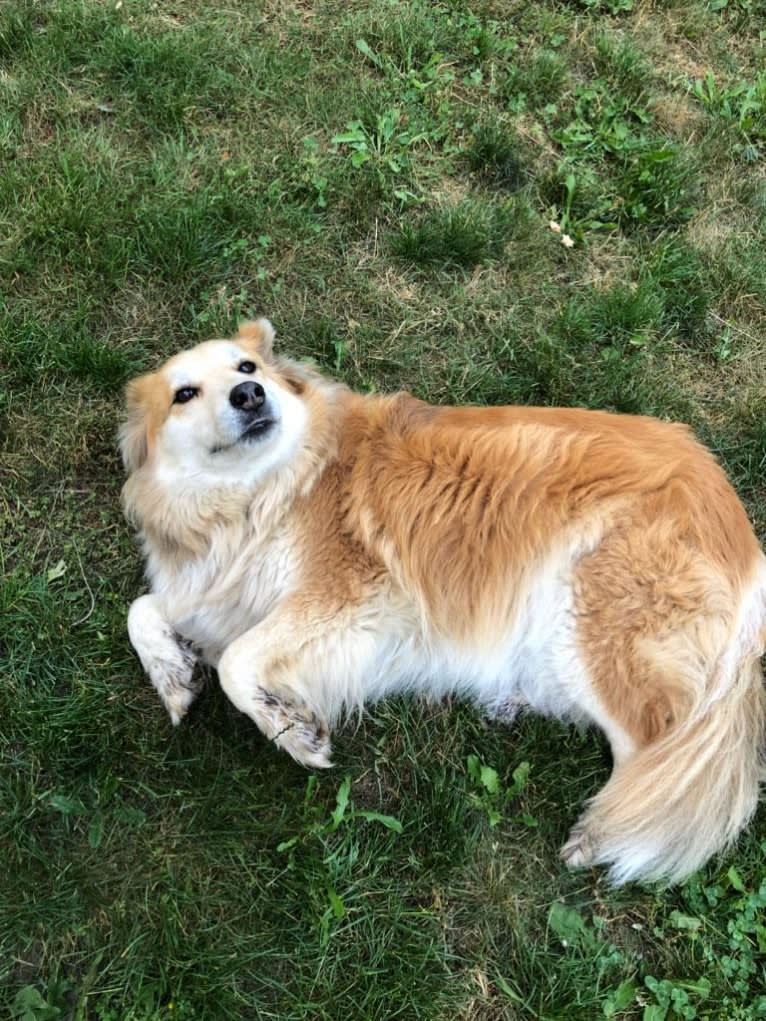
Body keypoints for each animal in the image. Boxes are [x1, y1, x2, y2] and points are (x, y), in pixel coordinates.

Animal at [121, 320, 766, 886]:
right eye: (184, 393)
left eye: (246, 368)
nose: (250, 394)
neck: (268, 487)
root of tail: (736, 520)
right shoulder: (215, 591)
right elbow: (145, 610)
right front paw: (175, 677)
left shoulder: (347, 594)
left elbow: (238, 661)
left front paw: (291, 728)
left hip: (591, 625)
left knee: (660, 748)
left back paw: (602, 836)